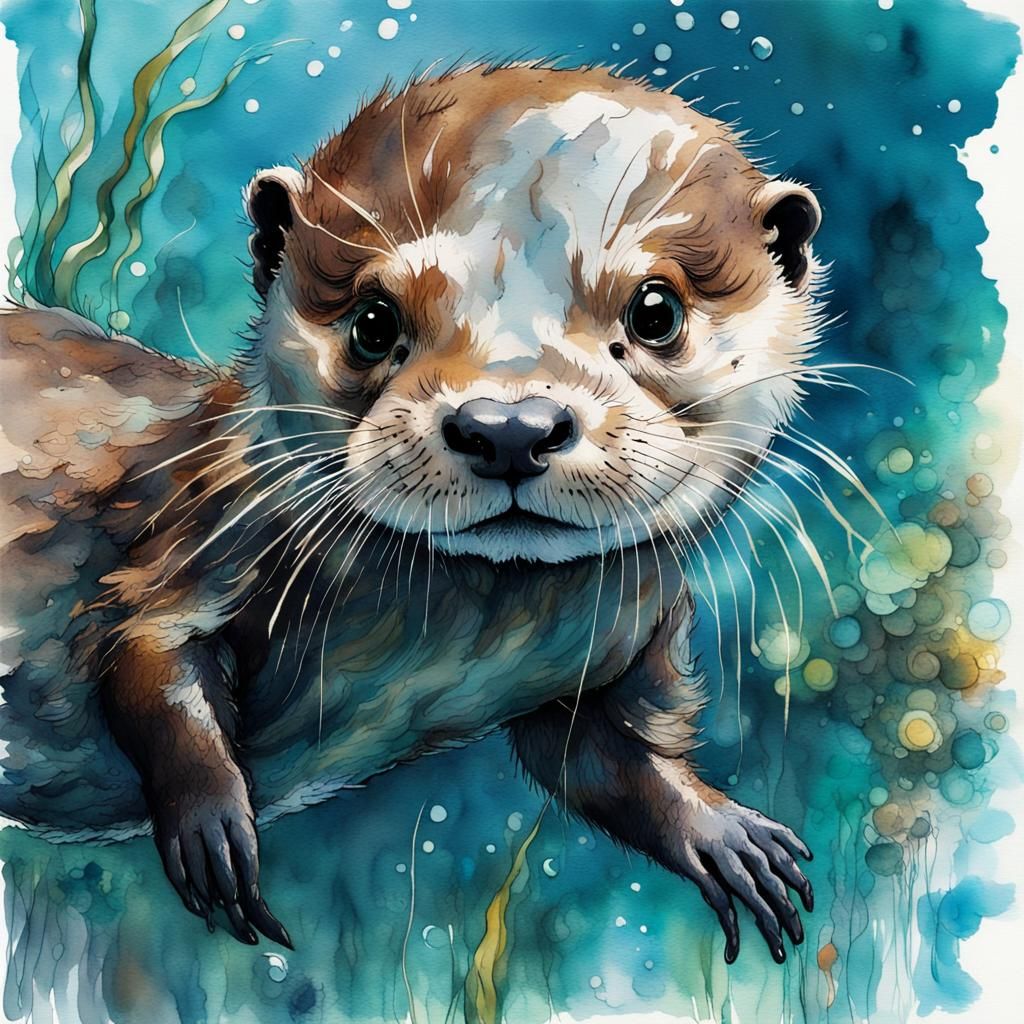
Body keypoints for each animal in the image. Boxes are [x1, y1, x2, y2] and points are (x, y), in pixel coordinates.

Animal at [0, 64, 823, 964]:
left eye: (655, 311)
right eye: (373, 320)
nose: (510, 426)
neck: (461, 644)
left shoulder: (627, 633)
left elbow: (602, 759)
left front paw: (720, 832)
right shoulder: (207, 533)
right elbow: (146, 650)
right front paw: (213, 827)